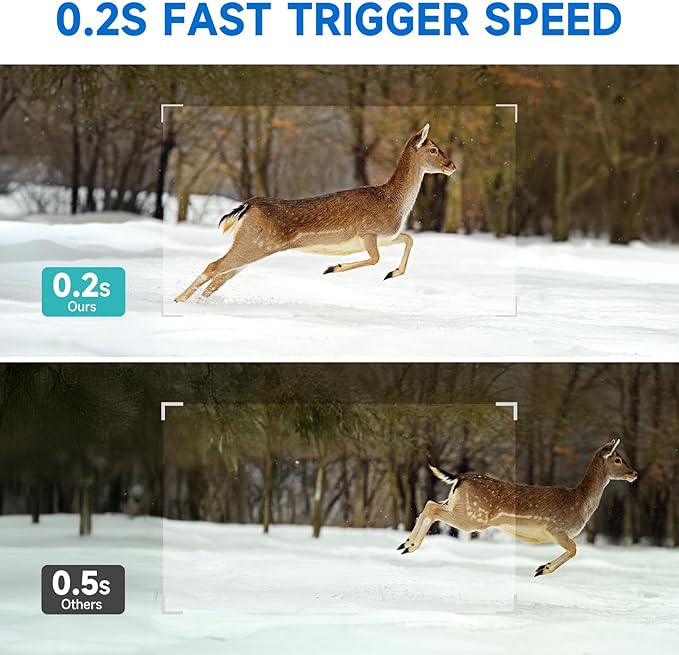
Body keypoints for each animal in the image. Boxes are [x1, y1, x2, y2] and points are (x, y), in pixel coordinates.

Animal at [175, 123, 456, 302]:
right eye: (433, 149)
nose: (452, 165)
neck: (394, 203)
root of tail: (248, 206)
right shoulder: (367, 232)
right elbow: (375, 258)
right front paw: (332, 267)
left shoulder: (387, 236)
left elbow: (409, 238)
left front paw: (391, 273)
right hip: (255, 243)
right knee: (214, 267)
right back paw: (178, 301)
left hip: (252, 246)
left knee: (220, 278)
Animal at [398, 439, 637, 577]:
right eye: (617, 459)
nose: (634, 473)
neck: (581, 503)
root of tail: (459, 477)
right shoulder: (556, 529)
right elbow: (574, 549)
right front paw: (542, 569)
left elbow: (574, 549)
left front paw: (541, 568)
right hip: (474, 516)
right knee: (432, 508)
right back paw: (410, 545)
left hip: (458, 505)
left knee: (431, 503)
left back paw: (405, 545)